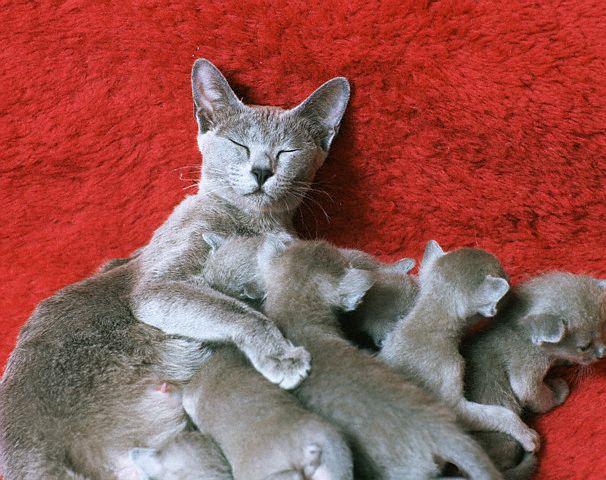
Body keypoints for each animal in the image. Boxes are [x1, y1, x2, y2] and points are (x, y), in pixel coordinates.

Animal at [0, 58, 352, 478]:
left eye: (287, 150)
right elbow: (238, 310)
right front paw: (282, 357)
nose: (262, 170)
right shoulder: (158, 286)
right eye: (240, 145)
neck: (256, 221)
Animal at [380, 240, 540, 454]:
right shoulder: (453, 406)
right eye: (505, 277)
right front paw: (525, 433)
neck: (424, 323)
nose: (513, 289)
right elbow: (501, 414)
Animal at [464, 272, 604, 474]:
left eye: (604, 328)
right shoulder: (525, 371)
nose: (603, 354)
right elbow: (536, 395)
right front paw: (557, 392)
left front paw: (564, 360)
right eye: (584, 347)